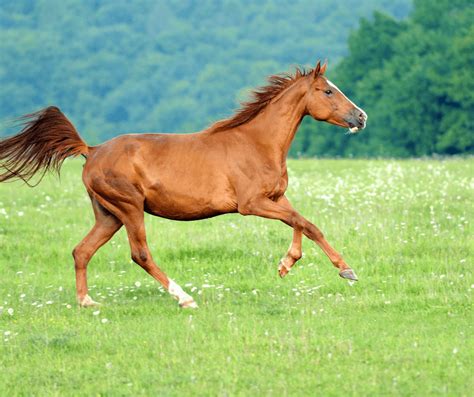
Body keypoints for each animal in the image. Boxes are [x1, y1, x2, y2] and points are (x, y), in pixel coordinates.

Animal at [0, 60, 366, 308]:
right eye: (328, 90)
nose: (361, 117)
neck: (256, 143)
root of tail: (91, 150)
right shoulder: (252, 204)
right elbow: (306, 223)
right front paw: (347, 271)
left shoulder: (276, 198)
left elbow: (302, 224)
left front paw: (287, 264)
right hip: (129, 208)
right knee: (140, 254)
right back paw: (184, 297)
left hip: (108, 215)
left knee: (82, 251)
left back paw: (87, 302)